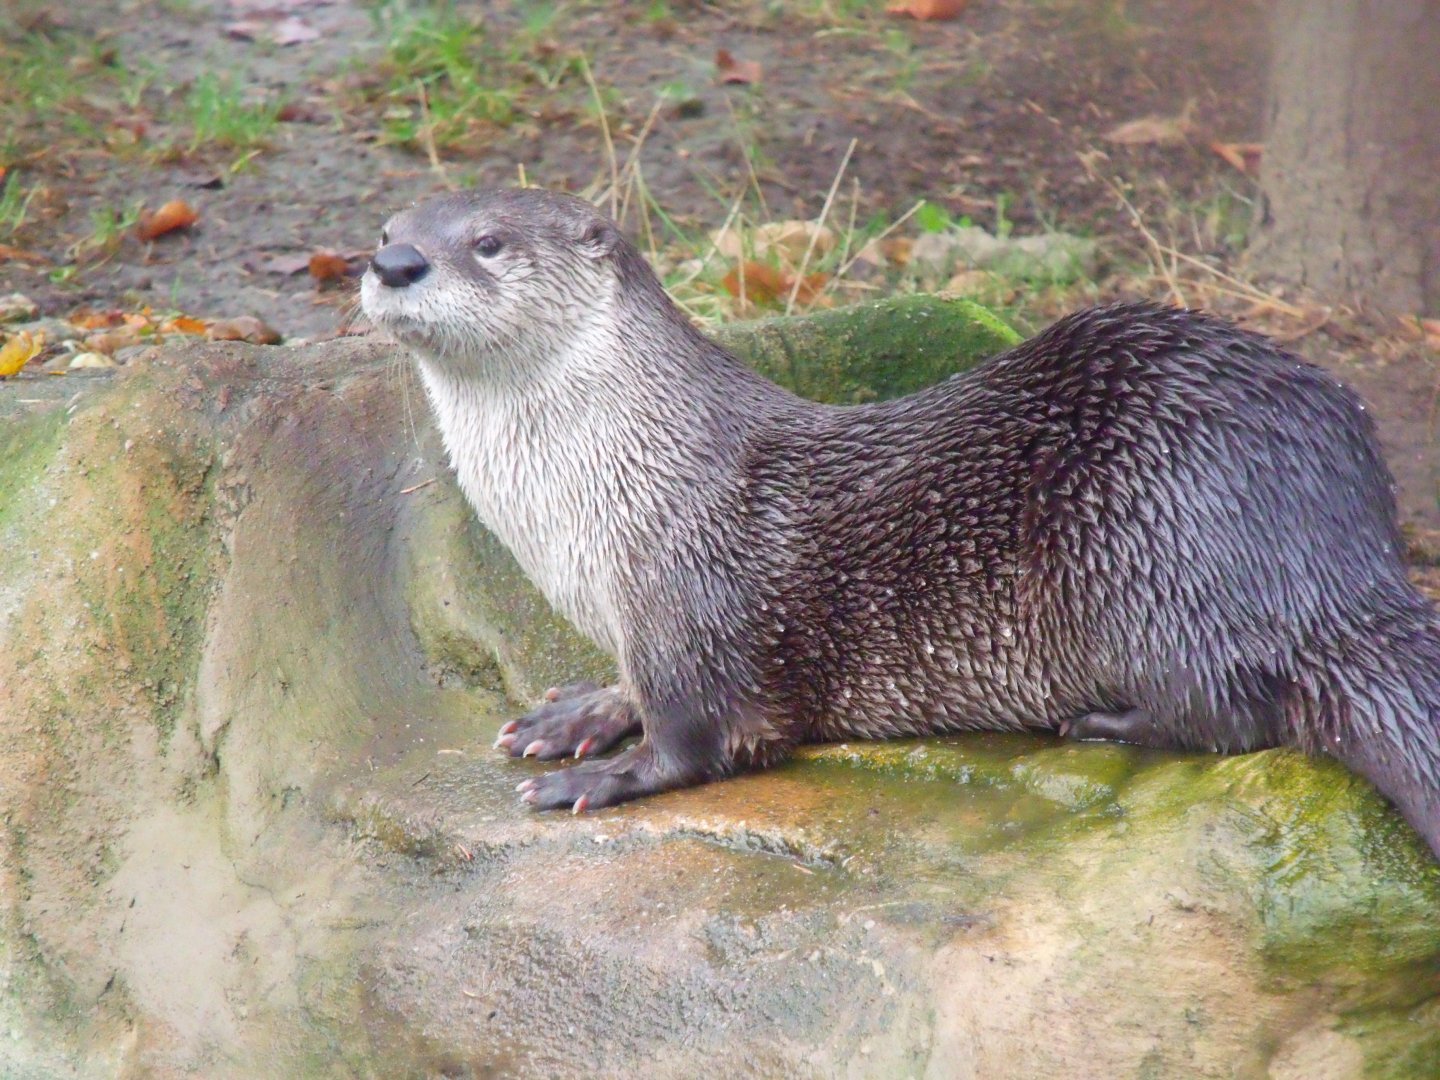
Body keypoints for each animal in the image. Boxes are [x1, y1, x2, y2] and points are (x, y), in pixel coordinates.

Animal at [361, 187, 1440, 859]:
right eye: (387, 226)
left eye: (489, 242)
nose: (395, 261)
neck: (613, 490)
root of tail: (1342, 560)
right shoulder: (636, 617)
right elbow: (634, 685)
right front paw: (577, 713)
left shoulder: (692, 596)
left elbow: (709, 734)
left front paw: (611, 777)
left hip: (1138, 544)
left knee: (1239, 705)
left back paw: (1100, 720)